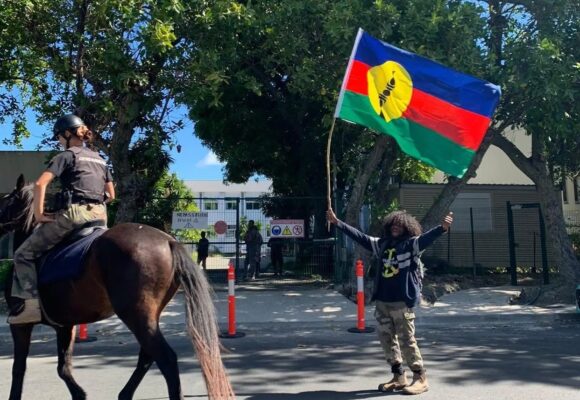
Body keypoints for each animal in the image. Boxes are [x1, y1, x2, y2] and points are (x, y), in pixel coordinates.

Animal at [1, 176, 236, 400]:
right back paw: (125, 394)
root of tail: (169, 241)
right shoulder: (65, 326)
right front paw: (79, 394)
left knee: (165, 359)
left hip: (135, 315)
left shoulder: (21, 326)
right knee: (147, 356)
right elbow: (63, 368)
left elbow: (19, 368)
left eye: (6, 202)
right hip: (147, 317)